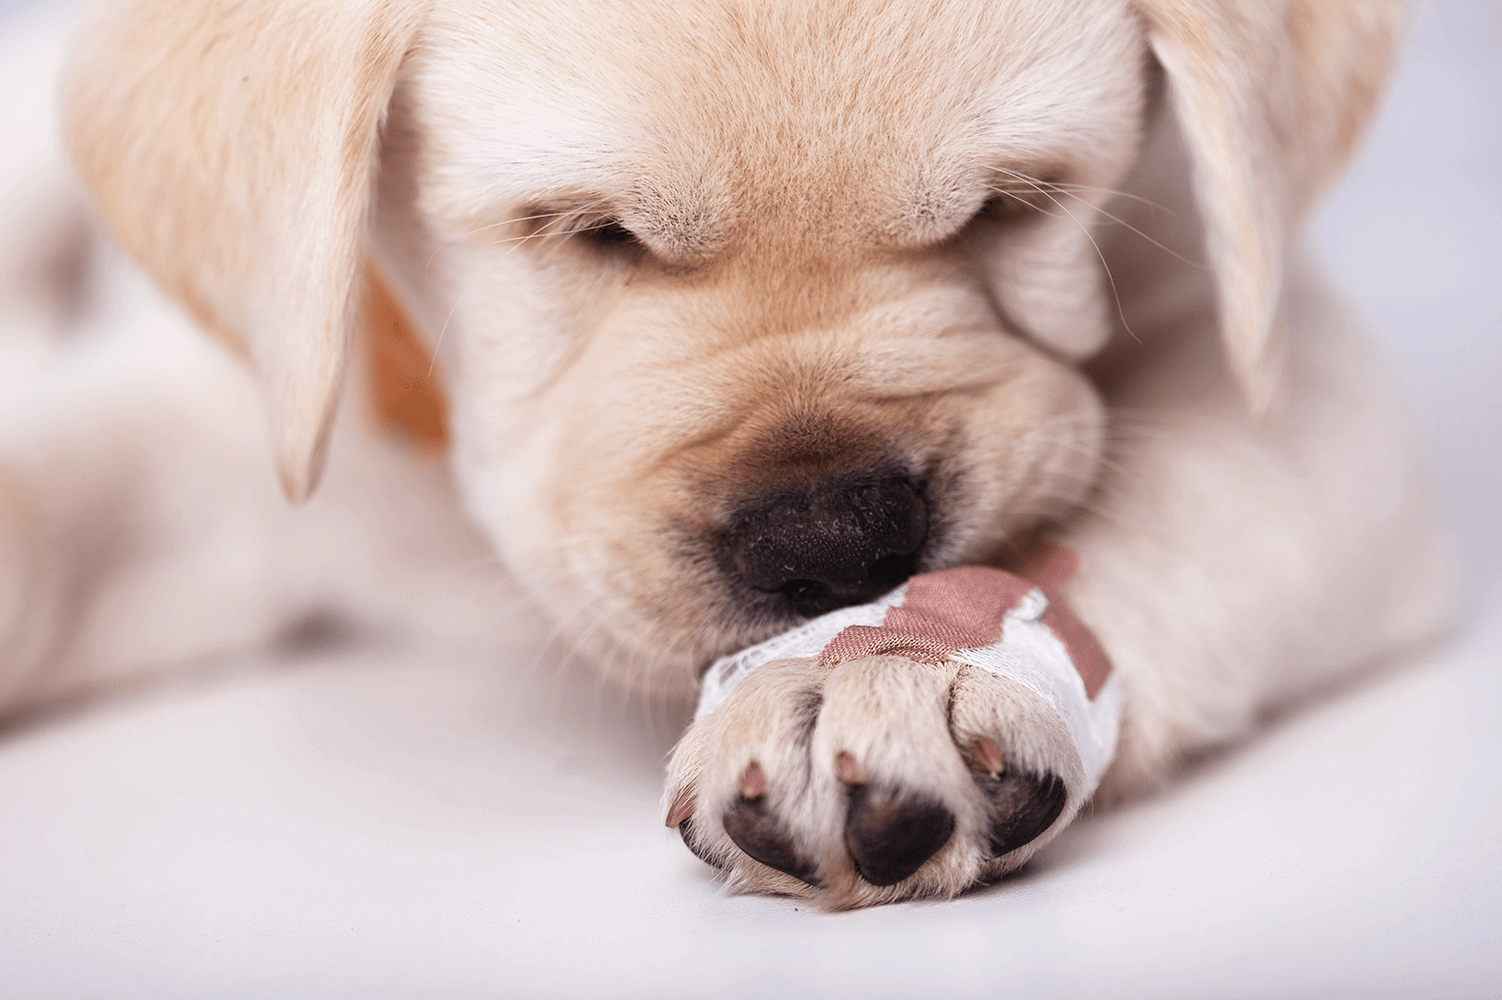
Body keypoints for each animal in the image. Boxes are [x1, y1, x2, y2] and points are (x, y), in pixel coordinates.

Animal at [2, 0, 1453, 906]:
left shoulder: (1296, 382)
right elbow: (43, 510)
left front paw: (894, 672)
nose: (835, 538)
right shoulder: (251, 424)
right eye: (587, 231)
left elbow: (1161, 499)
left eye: (1012, 207)